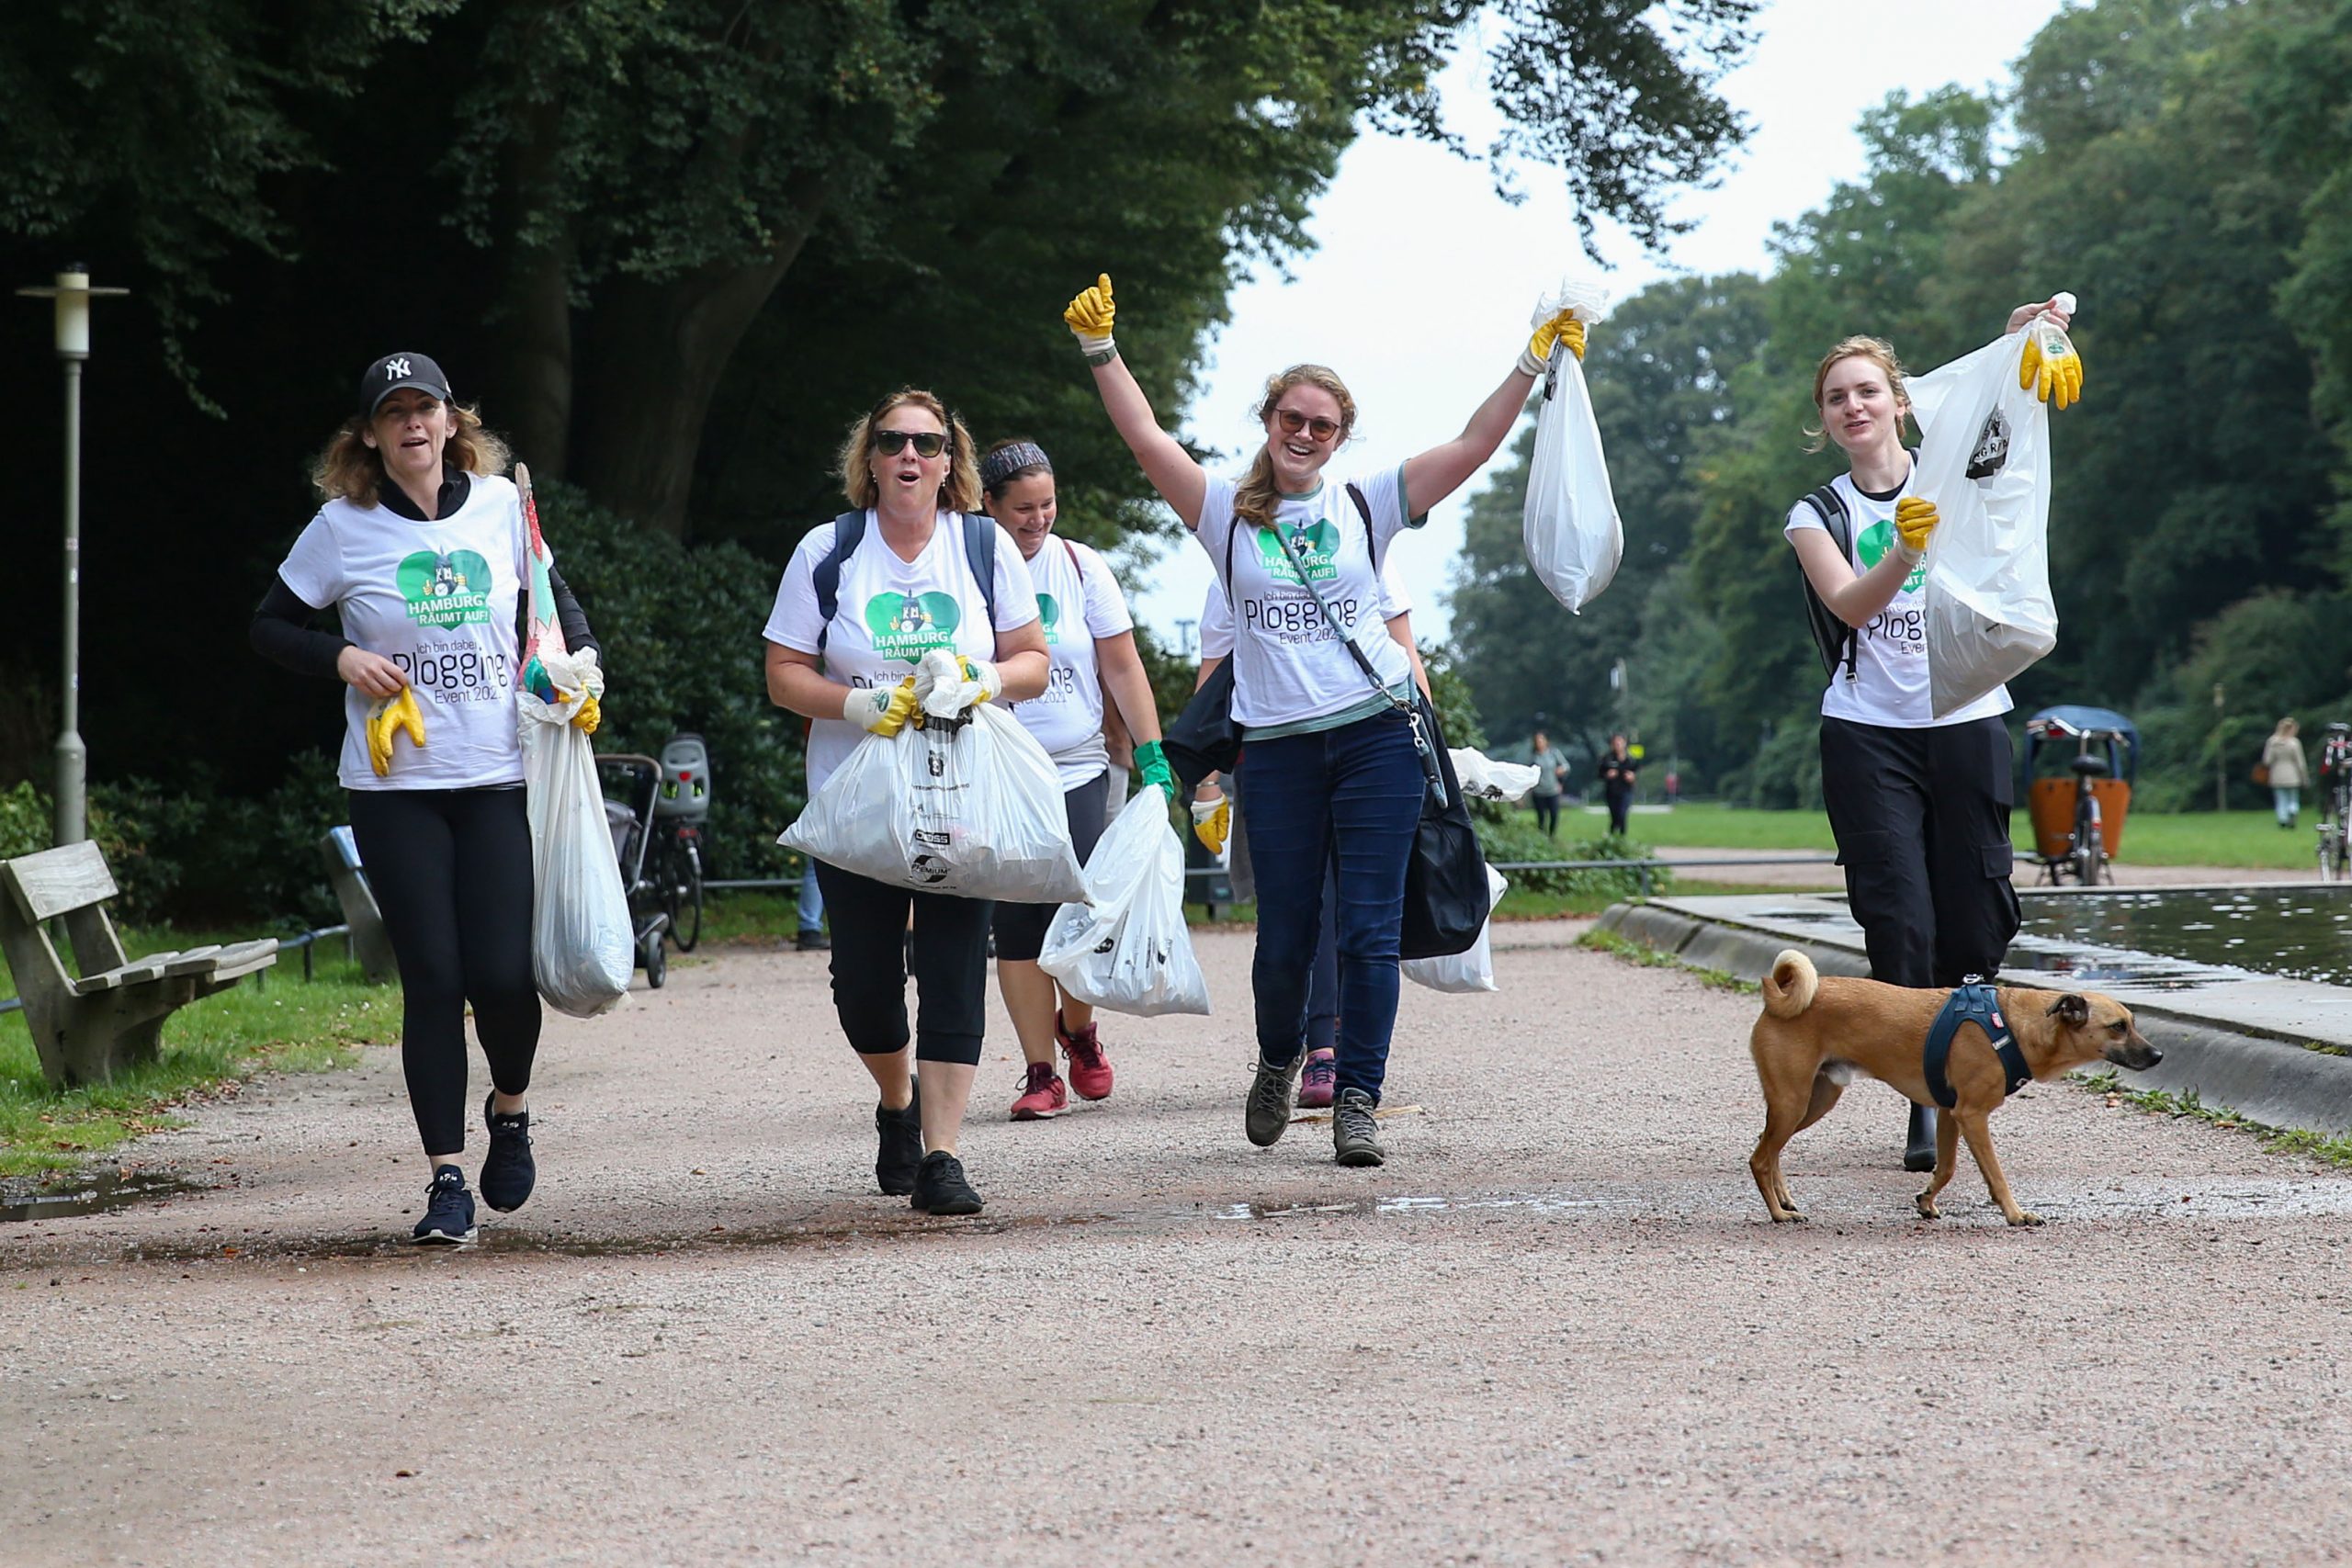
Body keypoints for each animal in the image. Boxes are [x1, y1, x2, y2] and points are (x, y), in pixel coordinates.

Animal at [1747, 950, 2162, 1227]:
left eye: (2132, 1023)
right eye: (2118, 1027)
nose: (2158, 1055)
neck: (2015, 1026)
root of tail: (1779, 995)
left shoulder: (1950, 1114)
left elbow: (1946, 1168)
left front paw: (1926, 1200)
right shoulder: (1972, 1115)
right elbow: (1995, 1174)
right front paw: (2016, 1214)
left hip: (1813, 1100)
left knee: (1769, 1147)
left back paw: (1785, 1199)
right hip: (1793, 1100)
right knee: (1760, 1158)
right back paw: (1778, 1213)